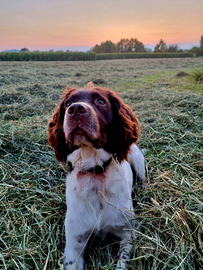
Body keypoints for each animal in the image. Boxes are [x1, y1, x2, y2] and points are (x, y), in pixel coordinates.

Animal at [48, 83, 145, 268]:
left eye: (100, 101)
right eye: (68, 103)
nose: (75, 109)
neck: (94, 174)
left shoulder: (128, 232)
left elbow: (122, 262)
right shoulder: (74, 242)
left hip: (137, 159)